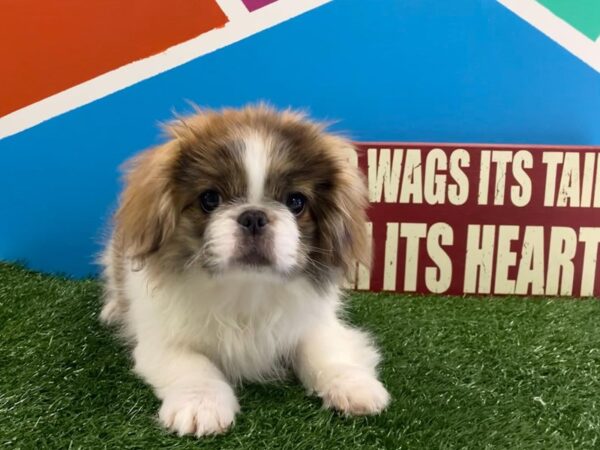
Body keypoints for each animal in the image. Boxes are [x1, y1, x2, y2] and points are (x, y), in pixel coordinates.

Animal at [99, 104, 390, 436]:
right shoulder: (162, 342)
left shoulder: (315, 323)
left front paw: (354, 386)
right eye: (210, 199)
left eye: (296, 202)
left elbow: (325, 351)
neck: (246, 288)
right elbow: (195, 367)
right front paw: (201, 404)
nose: (253, 216)